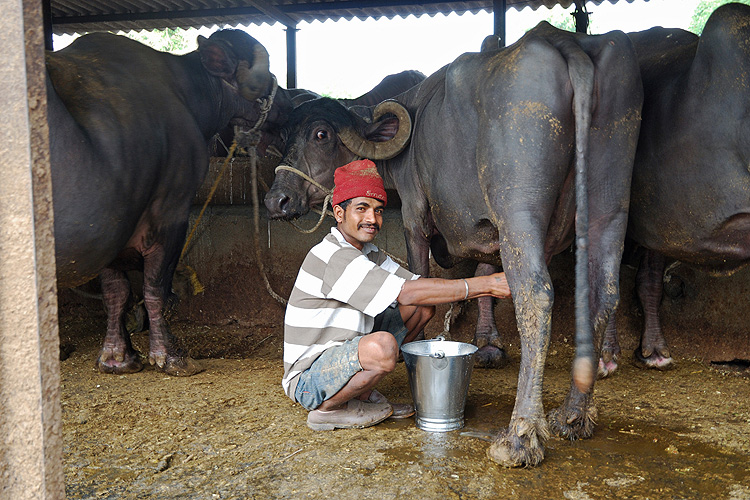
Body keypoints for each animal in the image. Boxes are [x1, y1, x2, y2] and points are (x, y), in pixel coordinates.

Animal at [48, 30, 290, 376]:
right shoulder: (169, 216)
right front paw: (171, 355)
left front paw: (117, 357)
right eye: (263, 78)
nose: (289, 103)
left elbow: (116, 293)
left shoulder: (107, 231)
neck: (184, 93)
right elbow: (156, 289)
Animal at [266, 22, 648, 468]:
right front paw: (489, 344)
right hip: (610, 201)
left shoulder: (415, 212)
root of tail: (564, 40)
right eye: (286, 135)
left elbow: (420, 273)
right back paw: (573, 415)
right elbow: (482, 272)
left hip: (518, 209)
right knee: (603, 292)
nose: (277, 200)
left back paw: (521, 435)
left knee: (536, 296)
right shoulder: (485, 229)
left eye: (321, 134)